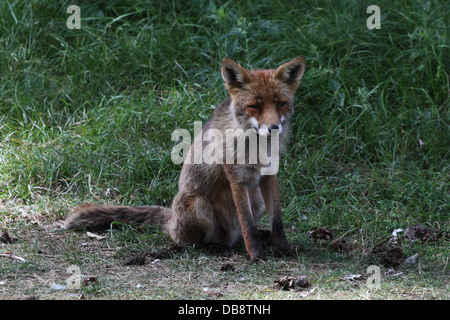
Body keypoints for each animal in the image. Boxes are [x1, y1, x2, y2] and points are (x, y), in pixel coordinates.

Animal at [64, 56, 306, 262]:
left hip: (256, 200)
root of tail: (172, 222)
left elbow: (277, 223)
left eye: (280, 103)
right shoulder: (237, 178)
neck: (258, 148)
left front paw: (283, 250)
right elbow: (248, 226)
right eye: (255, 106)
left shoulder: (269, 175)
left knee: (238, 235)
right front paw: (257, 256)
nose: (273, 128)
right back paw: (213, 248)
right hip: (198, 204)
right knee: (194, 243)